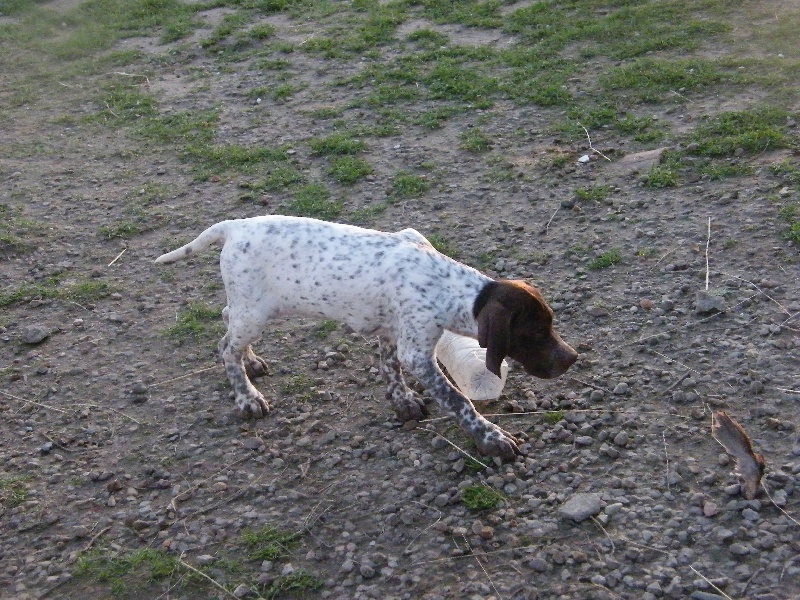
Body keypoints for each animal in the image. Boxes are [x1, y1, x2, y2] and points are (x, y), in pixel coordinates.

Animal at [155, 216, 576, 460]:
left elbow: (389, 366)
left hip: (253, 307)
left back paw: (252, 361)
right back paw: (247, 397)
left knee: (228, 321)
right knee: (225, 346)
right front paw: (490, 437)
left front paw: (401, 400)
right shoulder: (417, 351)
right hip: (255, 310)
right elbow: (458, 401)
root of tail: (235, 225)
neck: (446, 285)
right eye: (534, 332)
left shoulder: (393, 331)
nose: (571, 358)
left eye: (551, 324)